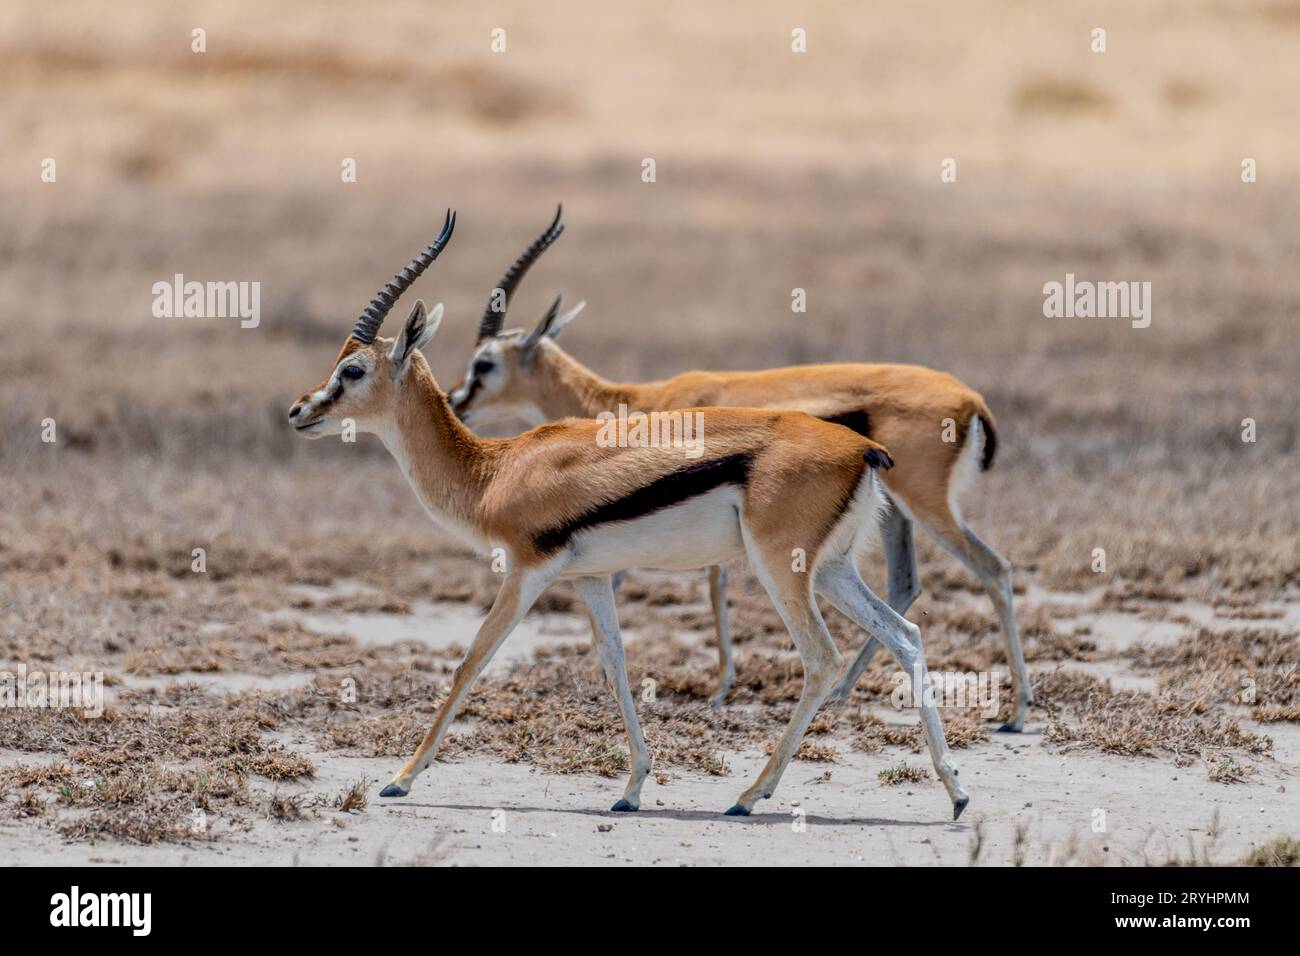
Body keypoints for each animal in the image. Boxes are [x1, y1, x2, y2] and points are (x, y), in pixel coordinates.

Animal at [287, 210, 971, 819]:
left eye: (353, 369)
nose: (299, 411)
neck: (495, 470)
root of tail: (863, 448)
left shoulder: (525, 573)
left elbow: (470, 662)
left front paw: (400, 779)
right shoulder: (590, 580)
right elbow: (615, 667)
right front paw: (632, 788)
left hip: (782, 570)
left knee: (822, 659)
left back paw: (749, 797)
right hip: (831, 570)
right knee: (906, 634)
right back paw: (956, 793)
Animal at [450, 210, 1033, 730]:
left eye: (485, 364)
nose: (456, 401)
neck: (639, 401)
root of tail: (971, 399)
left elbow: (705, 583)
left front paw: (718, 689)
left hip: (923, 505)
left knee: (993, 568)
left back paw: (1017, 712)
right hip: (891, 516)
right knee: (905, 587)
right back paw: (847, 692)